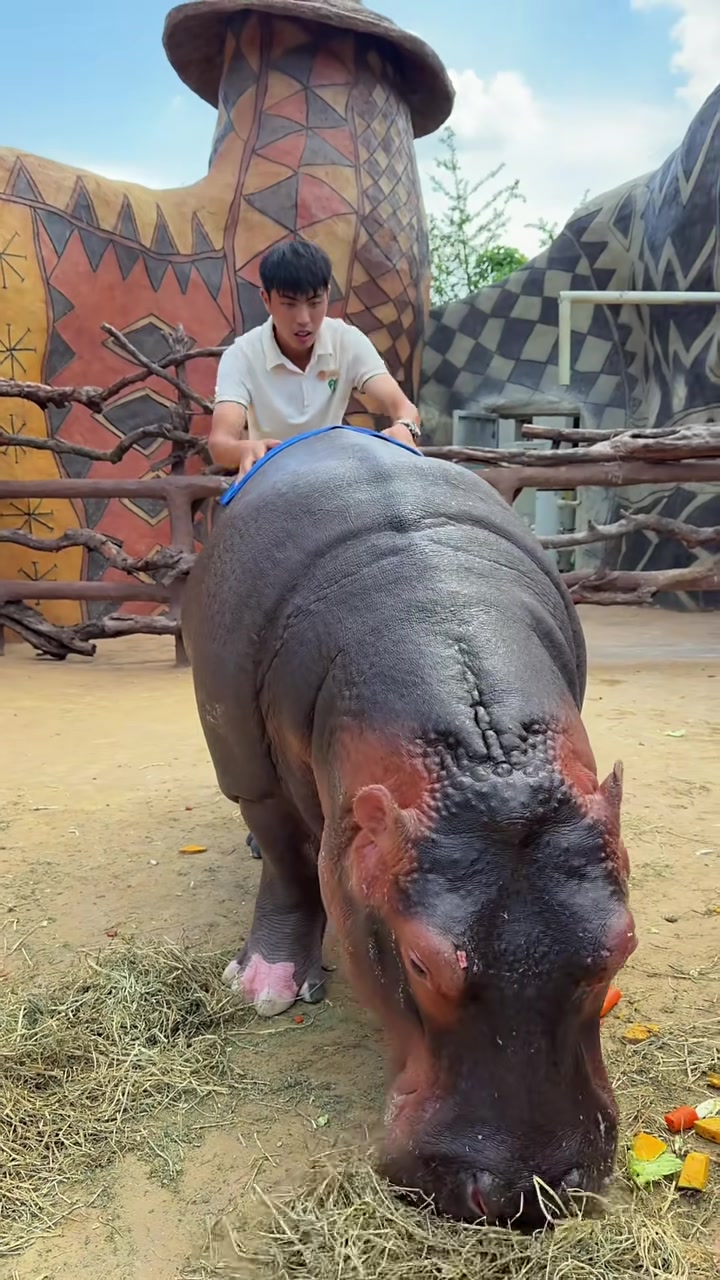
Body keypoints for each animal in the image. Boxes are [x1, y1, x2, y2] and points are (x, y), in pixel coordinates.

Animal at [181, 426, 636, 1226]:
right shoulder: (247, 766)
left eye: (624, 945)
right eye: (421, 962)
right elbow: (290, 865)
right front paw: (263, 986)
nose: (526, 1195)